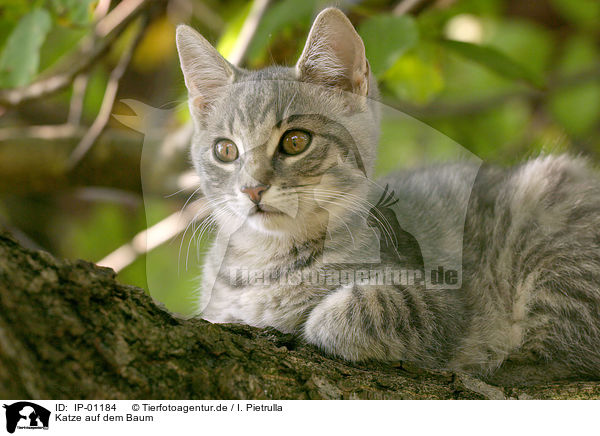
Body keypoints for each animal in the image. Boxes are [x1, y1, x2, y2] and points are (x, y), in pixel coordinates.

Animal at [175, 8, 600, 380]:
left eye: (296, 141)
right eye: (225, 150)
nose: (252, 187)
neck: (266, 261)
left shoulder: (444, 299)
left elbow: (361, 308)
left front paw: (307, 324)